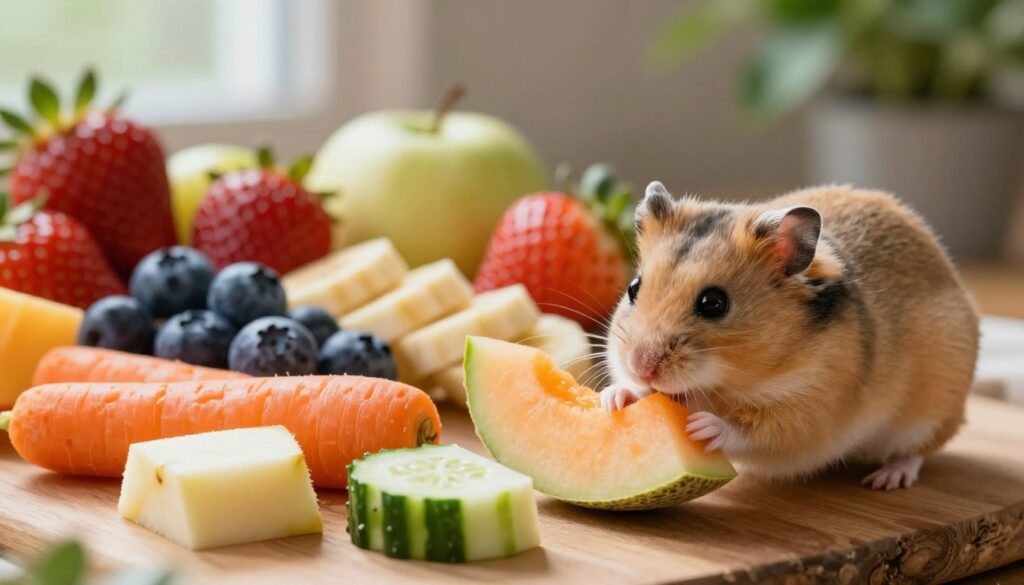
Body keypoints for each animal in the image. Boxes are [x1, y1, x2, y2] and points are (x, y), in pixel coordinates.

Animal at [600, 182, 979, 490]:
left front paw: (703, 428)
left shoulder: (809, 409)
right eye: (634, 288)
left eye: (714, 303)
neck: (724, 384)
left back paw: (887, 479)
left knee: (916, 451)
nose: (641, 367)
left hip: (933, 411)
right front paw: (615, 398)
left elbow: (753, 431)